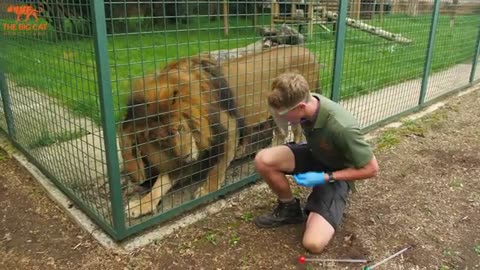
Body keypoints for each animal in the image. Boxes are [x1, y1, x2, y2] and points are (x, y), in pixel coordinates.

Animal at [120, 44, 320, 217]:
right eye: (159, 139)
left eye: (179, 128)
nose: (186, 157)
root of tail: (307, 50)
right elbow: (160, 183)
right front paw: (142, 204)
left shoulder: (229, 129)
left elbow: (218, 166)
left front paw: (207, 189)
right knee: (280, 133)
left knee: (297, 131)